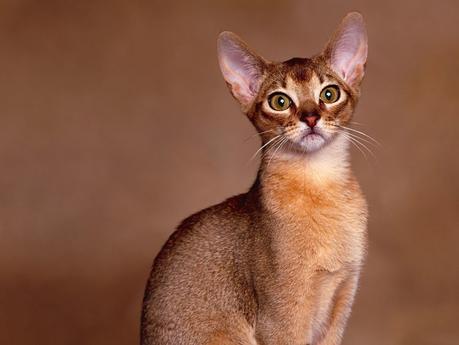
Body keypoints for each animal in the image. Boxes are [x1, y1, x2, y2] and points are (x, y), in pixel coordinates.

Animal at [140, 10, 370, 344]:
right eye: (280, 101)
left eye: (330, 94)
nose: (311, 117)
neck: (320, 188)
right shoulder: (281, 320)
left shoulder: (341, 300)